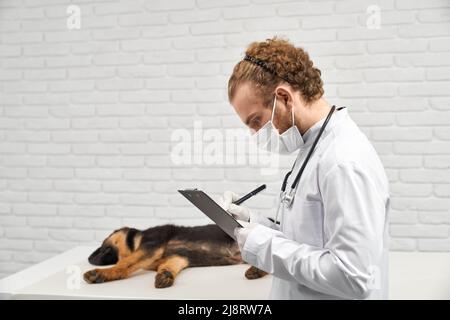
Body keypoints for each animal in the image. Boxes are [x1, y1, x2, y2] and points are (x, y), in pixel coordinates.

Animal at [83, 224, 268, 288]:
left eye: (102, 246)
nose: (88, 258)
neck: (137, 241)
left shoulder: (151, 245)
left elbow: (125, 263)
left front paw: (102, 274)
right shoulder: (178, 258)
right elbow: (167, 267)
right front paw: (165, 275)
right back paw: (256, 271)